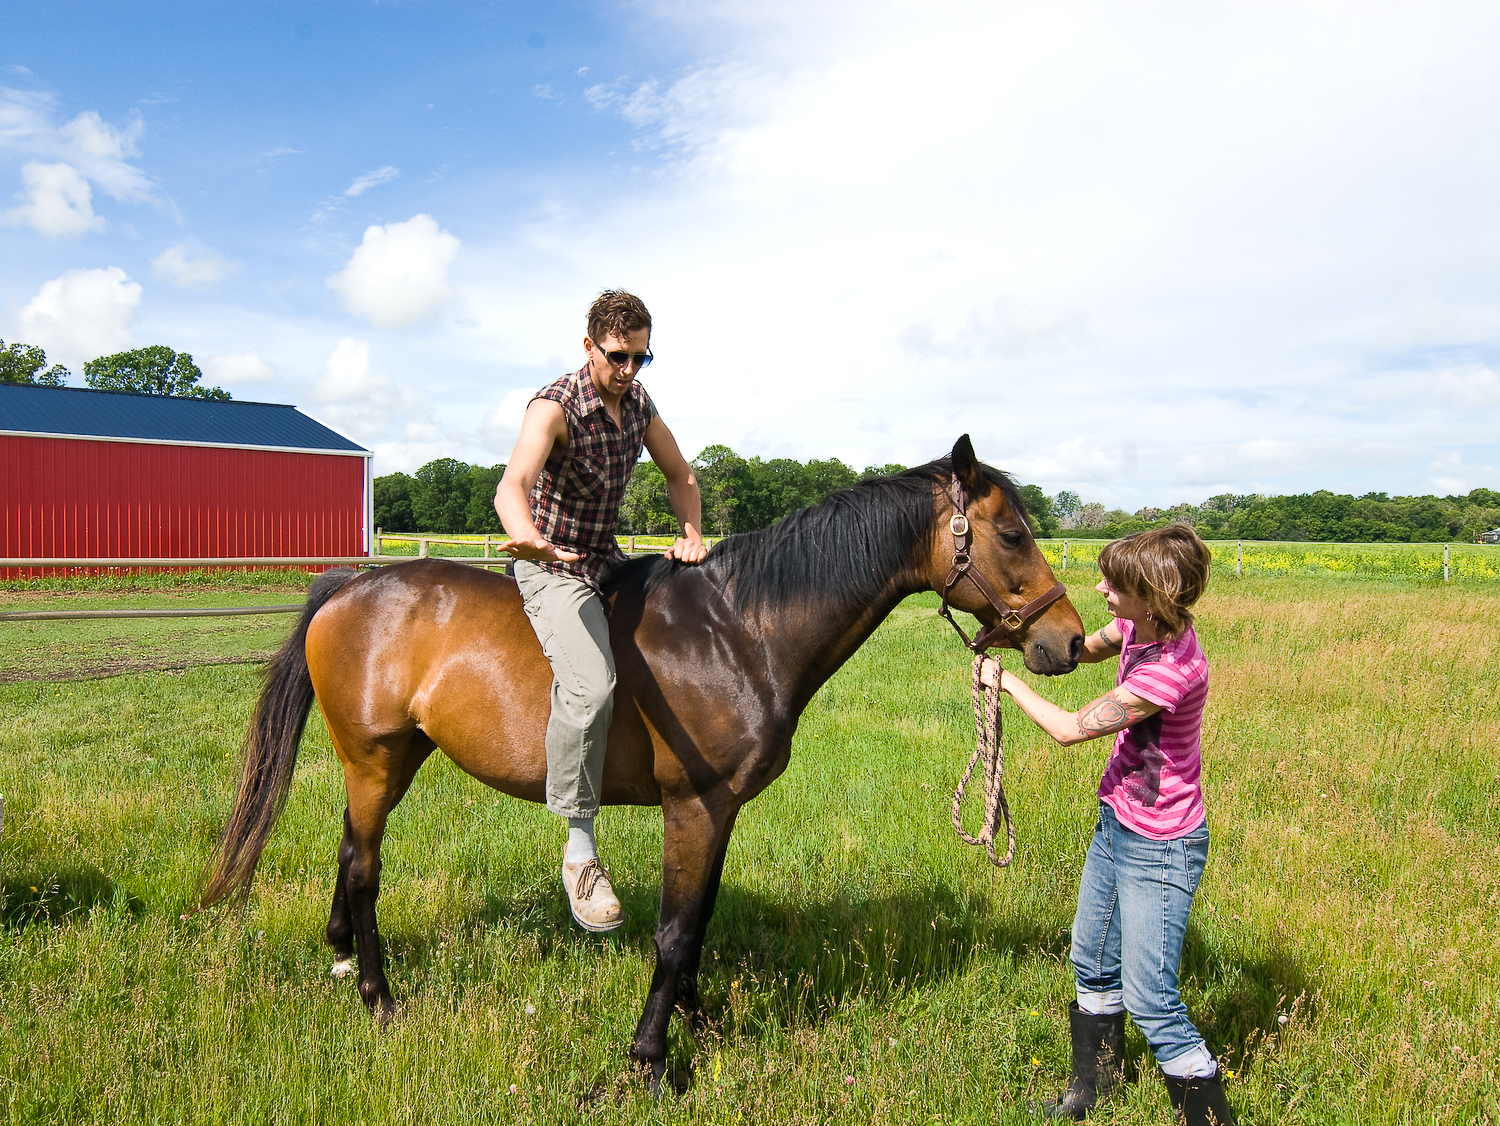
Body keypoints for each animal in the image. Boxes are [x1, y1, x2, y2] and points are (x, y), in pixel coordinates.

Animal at [205, 434, 1086, 1091]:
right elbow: (674, 928)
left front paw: (698, 1017)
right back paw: (379, 997)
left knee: (348, 847)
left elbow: (699, 921)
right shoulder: (693, 804)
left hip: (392, 761)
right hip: (375, 760)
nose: (1072, 641)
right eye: (1012, 534)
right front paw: (653, 1060)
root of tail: (352, 586)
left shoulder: (720, 810)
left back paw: (341, 953)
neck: (740, 629)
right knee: (363, 867)